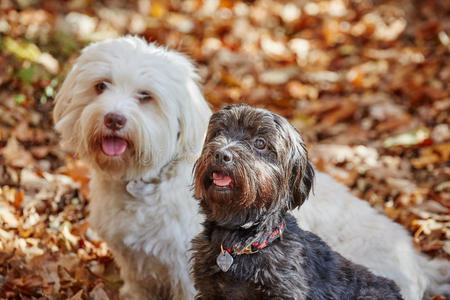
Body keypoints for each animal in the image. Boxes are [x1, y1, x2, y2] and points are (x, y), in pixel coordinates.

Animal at [54, 36, 448, 298]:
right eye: (100, 86)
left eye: (145, 97)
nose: (114, 119)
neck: (147, 180)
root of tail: (416, 262)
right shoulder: (137, 267)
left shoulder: (184, 271)